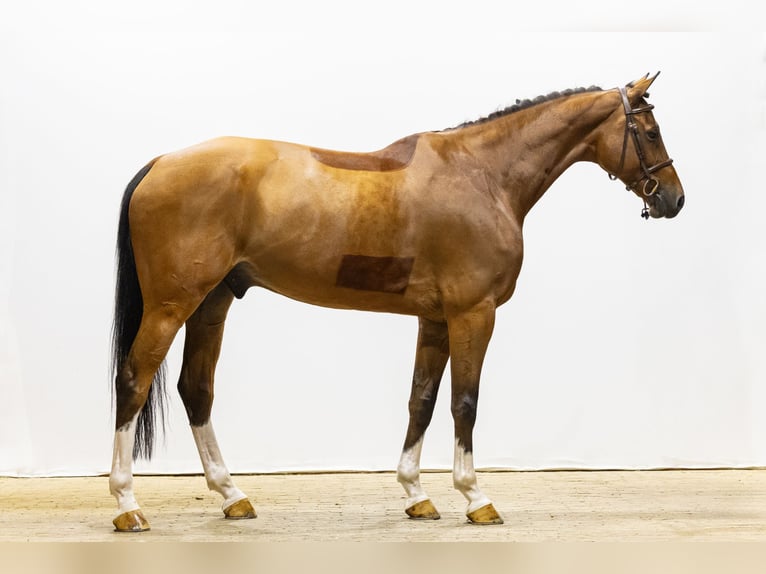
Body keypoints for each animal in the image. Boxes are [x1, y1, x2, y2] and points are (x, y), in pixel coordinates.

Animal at [109, 73, 684, 531]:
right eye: (650, 131)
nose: (674, 199)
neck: (482, 175)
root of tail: (160, 163)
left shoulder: (435, 318)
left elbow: (421, 401)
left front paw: (416, 494)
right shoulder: (474, 314)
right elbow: (465, 402)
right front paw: (475, 497)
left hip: (212, 303)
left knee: (196, 389)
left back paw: (233, 496)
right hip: (170, 306)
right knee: (133, 381)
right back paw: (127, 505)